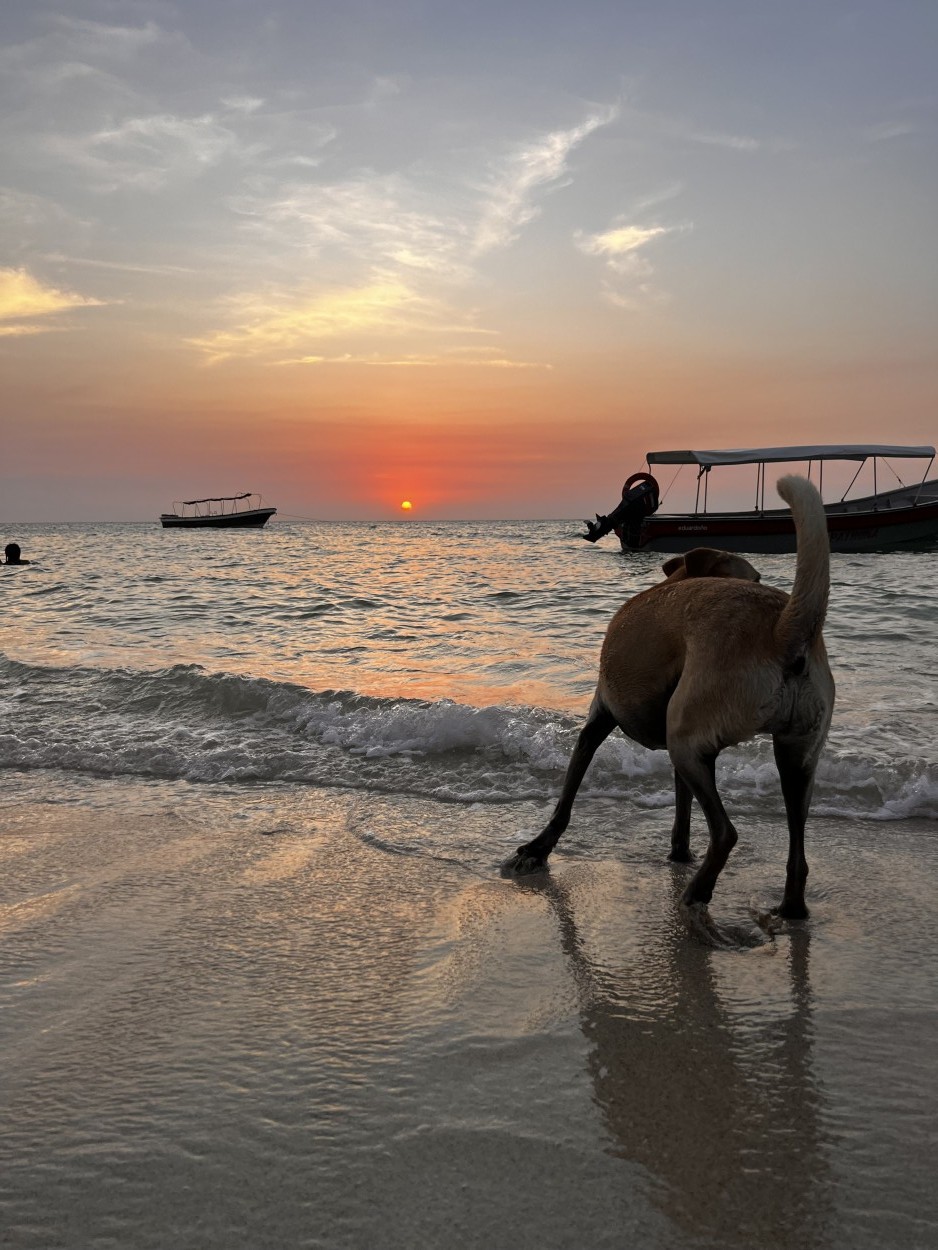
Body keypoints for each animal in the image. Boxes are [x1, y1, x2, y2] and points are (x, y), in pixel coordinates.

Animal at [507, 475, 835, 920]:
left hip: (687, 736)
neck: (674, 581)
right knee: (796, 846)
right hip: (795, 755)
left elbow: (567, 795)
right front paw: (679, 852)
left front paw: (538, 849)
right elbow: (681, 805)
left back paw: (698, 891)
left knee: (726, 832)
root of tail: (783, 629)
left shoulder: (599, 717)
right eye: (753, 576)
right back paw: (790, 907)